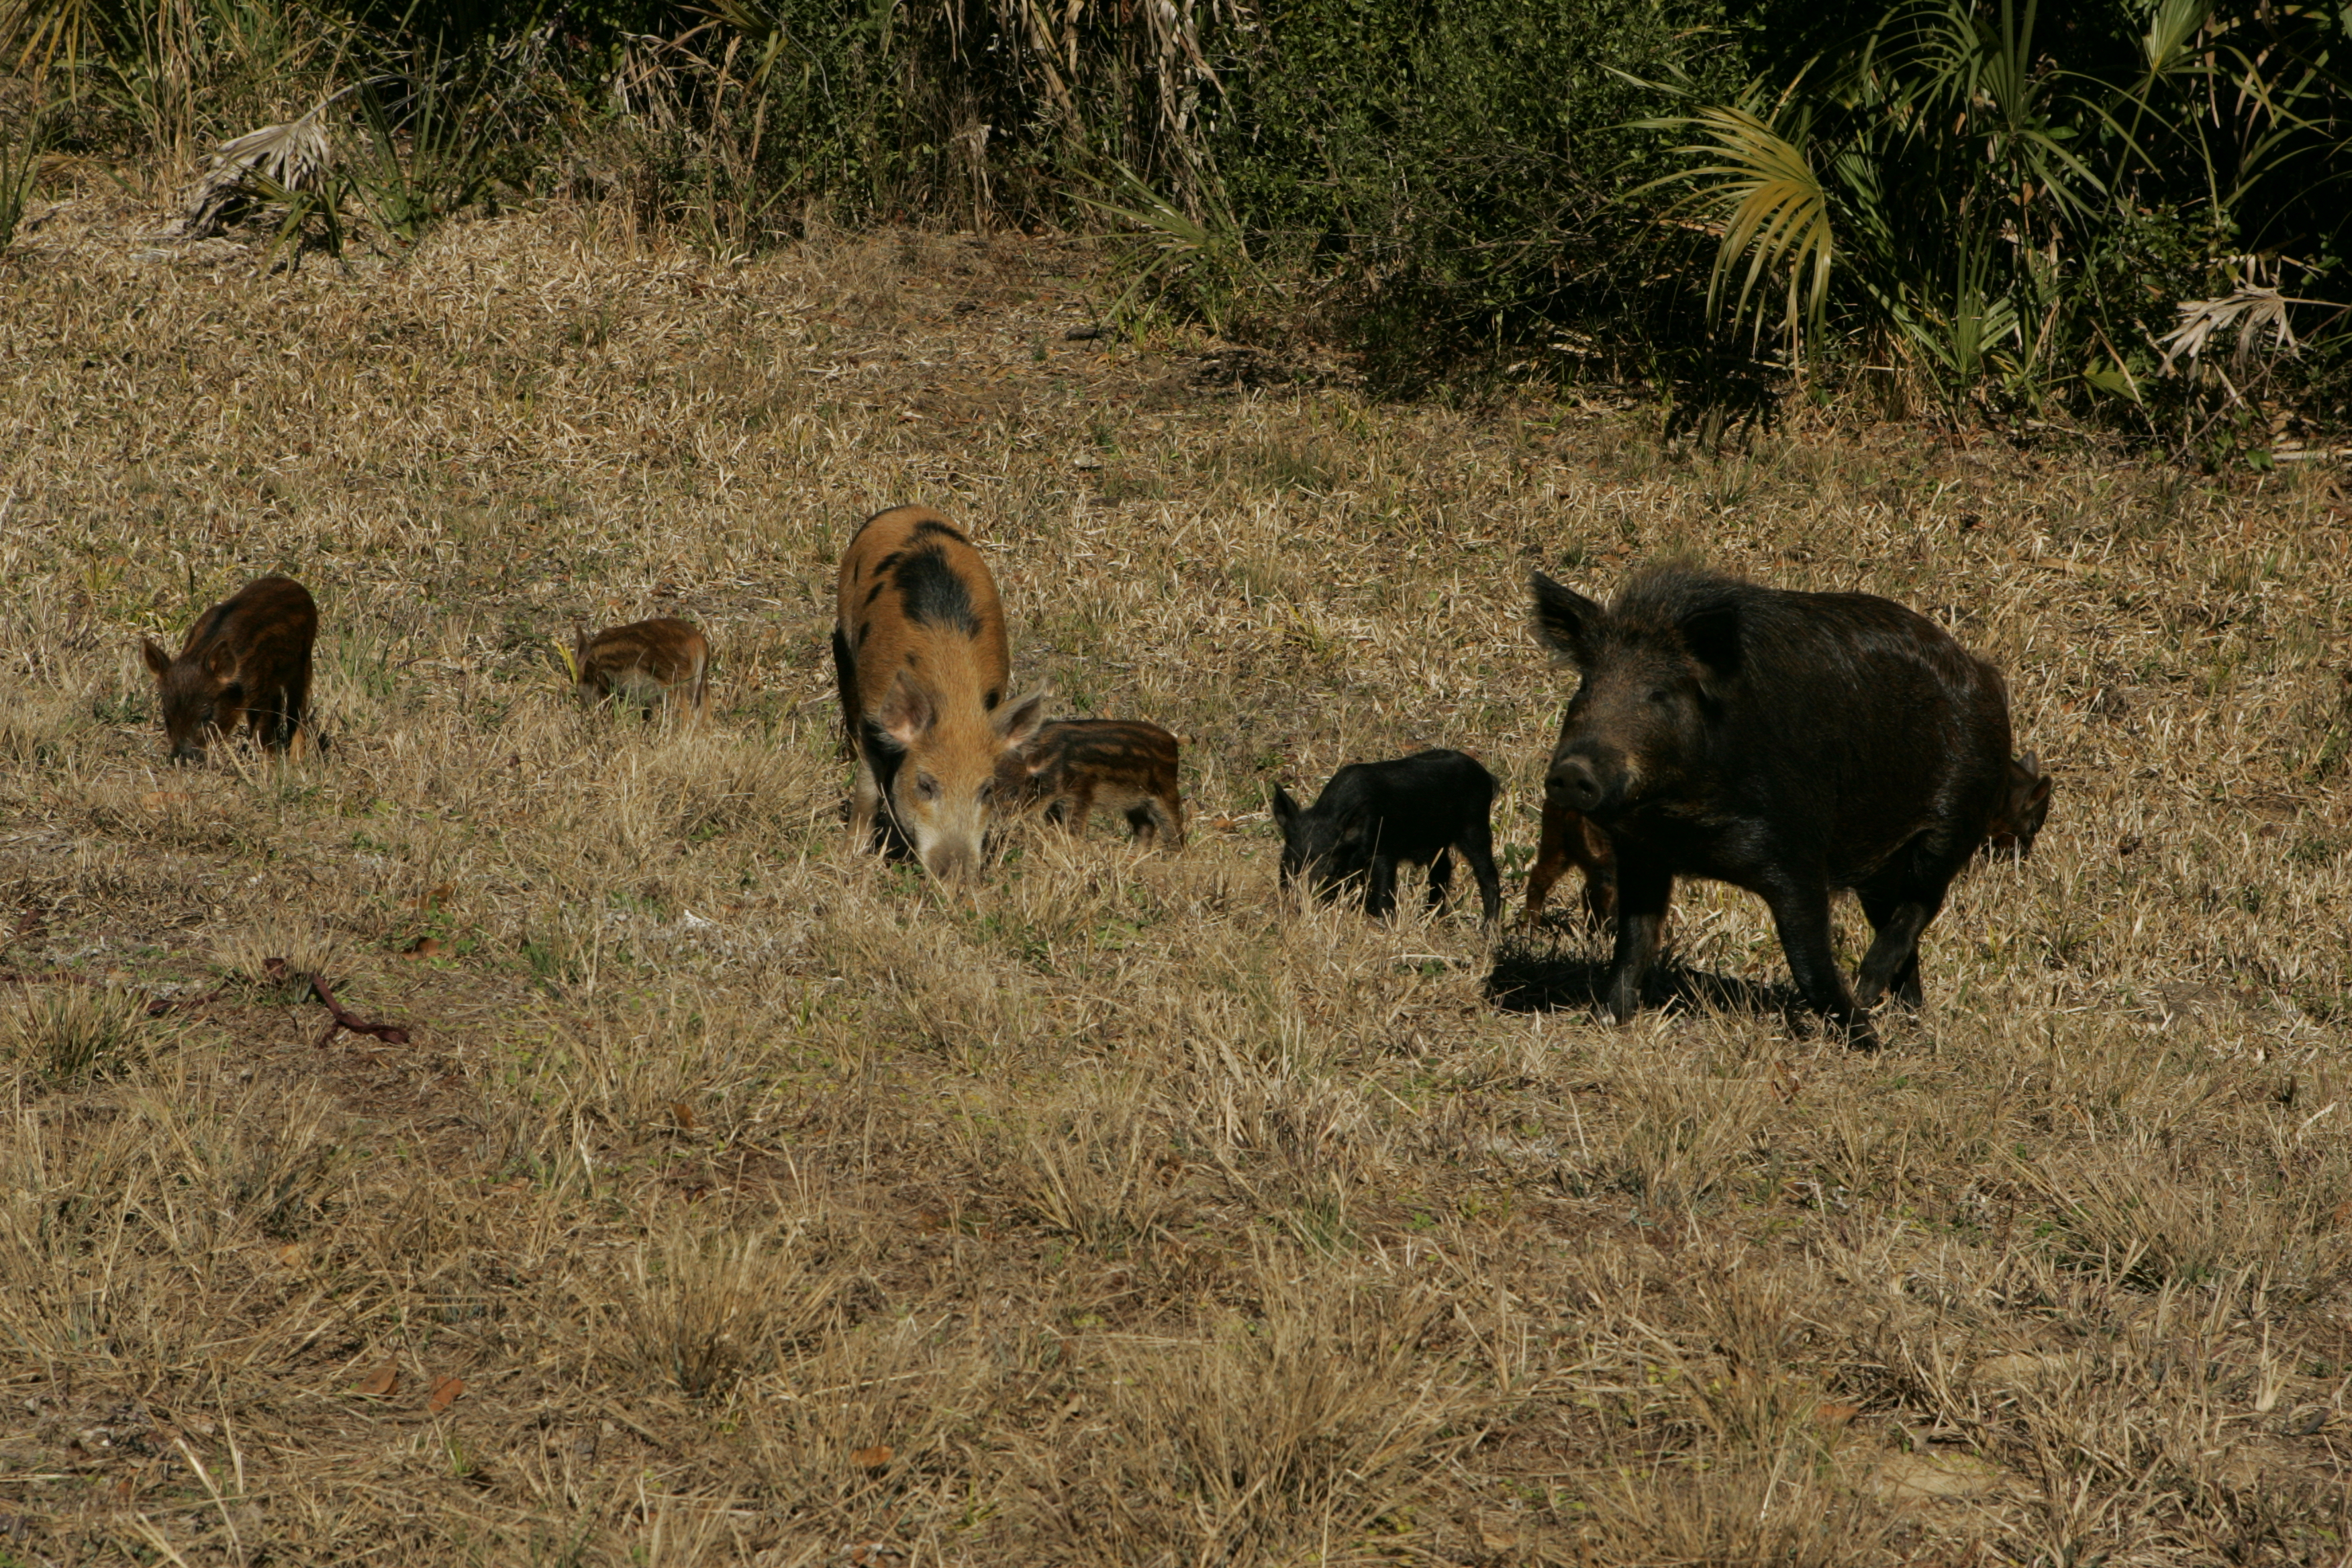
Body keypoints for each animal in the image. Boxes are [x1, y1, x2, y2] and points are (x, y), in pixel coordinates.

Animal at [142, 581, 320, 771]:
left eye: (208, 716)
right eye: (166, 716)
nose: (182, 759)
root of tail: (294, 584)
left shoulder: (259, 690)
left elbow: (261, 732)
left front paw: (271, 768)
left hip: (304, 662)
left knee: (297, 712)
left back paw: (298, 762)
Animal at [576, 616, 710, 719]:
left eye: (584, 677)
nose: (585, 709)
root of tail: (697, 643)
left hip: (672, 686)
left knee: (687, 716)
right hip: (701, 685)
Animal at [832, 509, 1044, 879]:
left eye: (986, 790)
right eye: (926, 784)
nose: (955, 875)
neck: (953, 698)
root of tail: (907, 511)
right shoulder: (875, 717)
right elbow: (868, 790)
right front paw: (850, 857)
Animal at [997, 719, 1185, 846]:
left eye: (1014, 791)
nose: (998, 824)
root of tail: (1173, 741)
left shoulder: (1080, 794)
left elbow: (1074, 825)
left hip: (1165, 792)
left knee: (1173, 826)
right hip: (1135, 804)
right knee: (1146, 827)